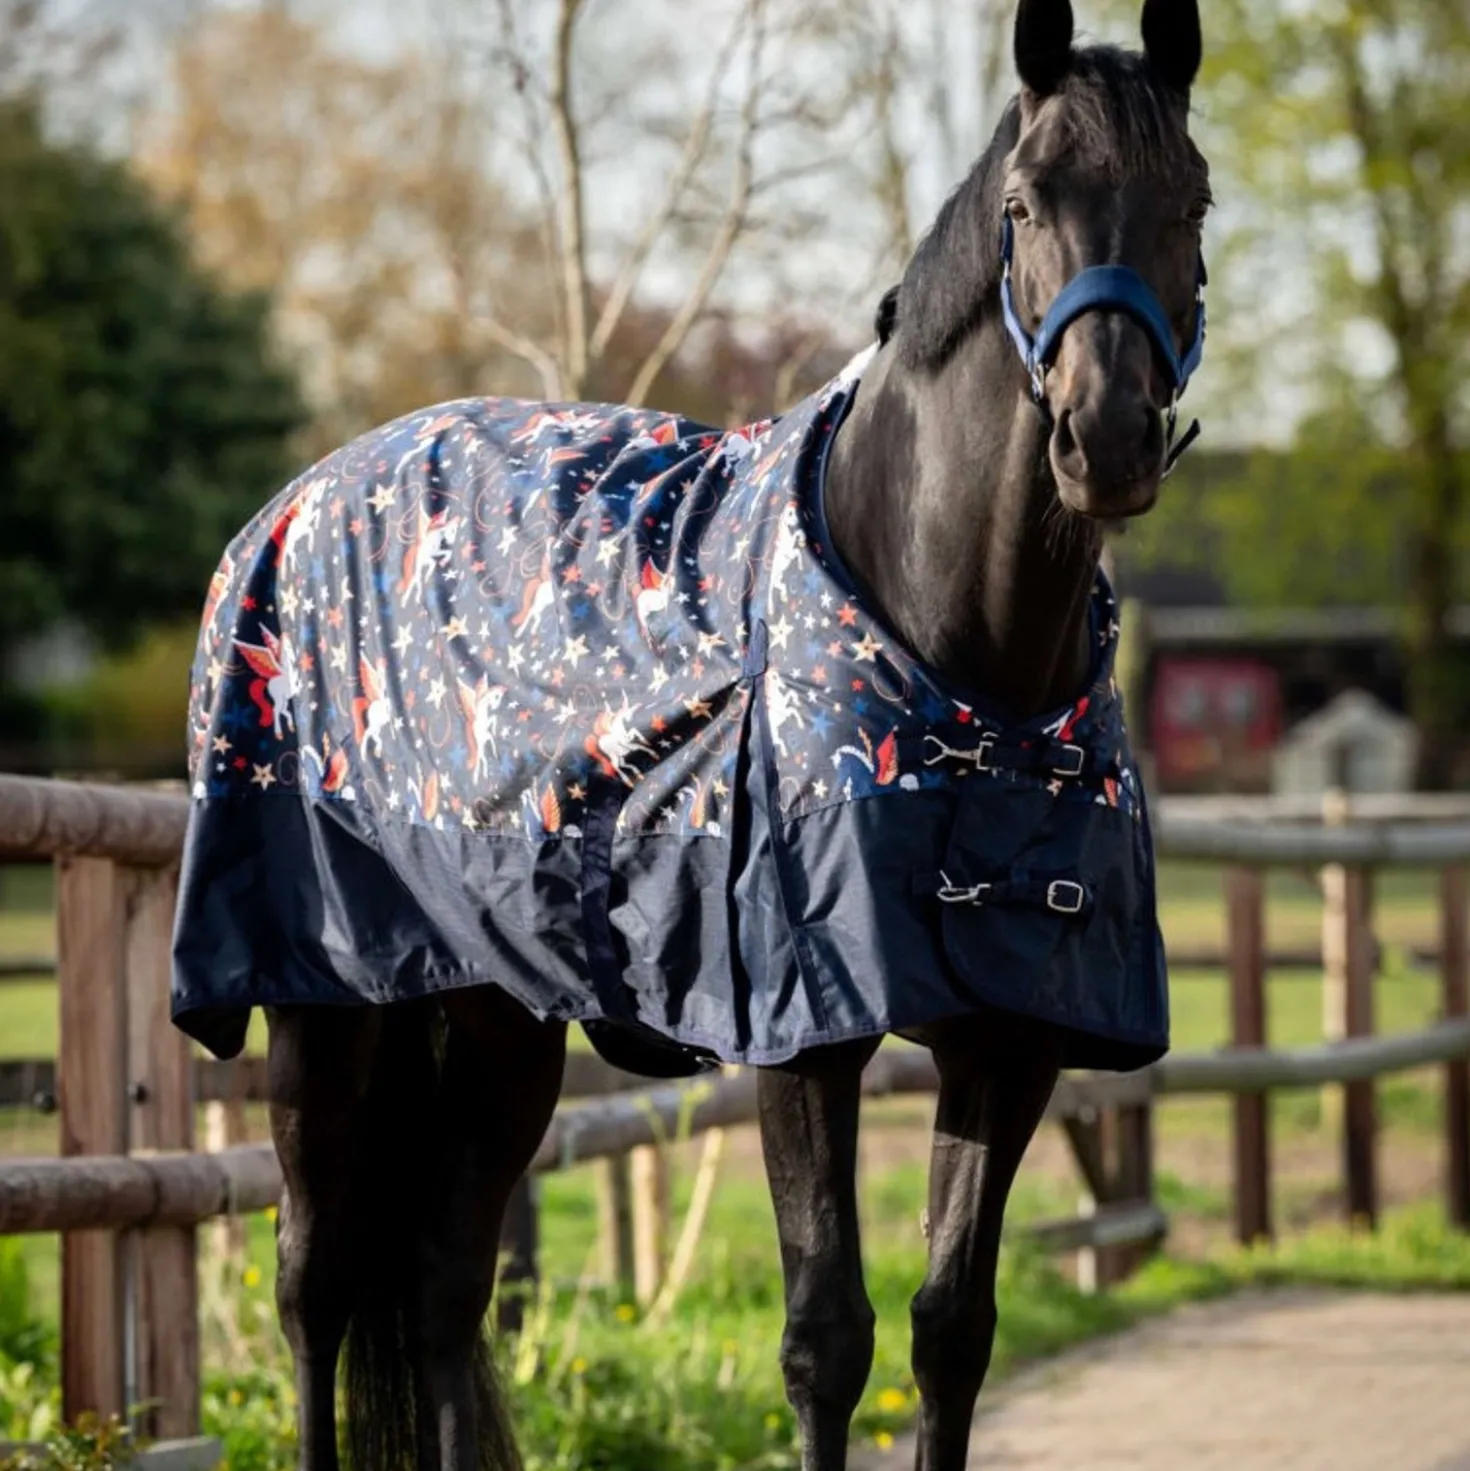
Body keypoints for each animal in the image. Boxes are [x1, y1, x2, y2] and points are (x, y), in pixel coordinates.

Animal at [170, 1, 1210, 1466]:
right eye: (1026, 200)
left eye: (1193, 200)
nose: (1103, 436)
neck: (957, 650)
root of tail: (294, 505)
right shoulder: (800, 1031)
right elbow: (827, 1336)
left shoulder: (1011, 1039)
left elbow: (952, 1330)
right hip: (323, 1006)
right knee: (314, 1284)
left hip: (493, 1013)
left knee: (440, 1283)